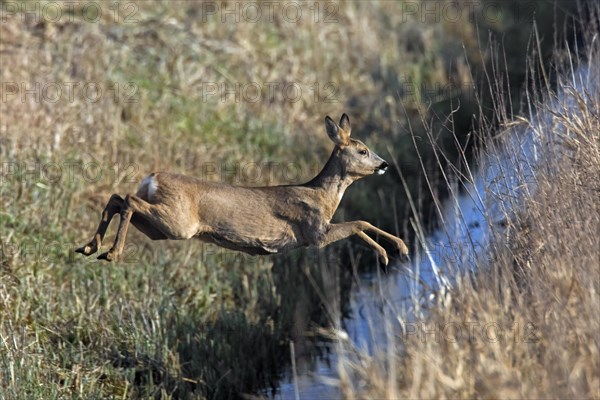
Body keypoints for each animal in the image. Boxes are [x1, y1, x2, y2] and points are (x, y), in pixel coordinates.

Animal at [76, 114, 408, 264]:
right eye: (363, 150)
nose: (385, 164)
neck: (322, 197)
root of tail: (152, 177)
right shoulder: (314, 233)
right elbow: (359, 222)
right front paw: (392, 250)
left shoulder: (316, 233)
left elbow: (359, 224)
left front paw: (393, 250)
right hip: (177, 222)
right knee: (129, 200)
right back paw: (111, 253)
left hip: (161, 228)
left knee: (118, 198)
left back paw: (90, 247)